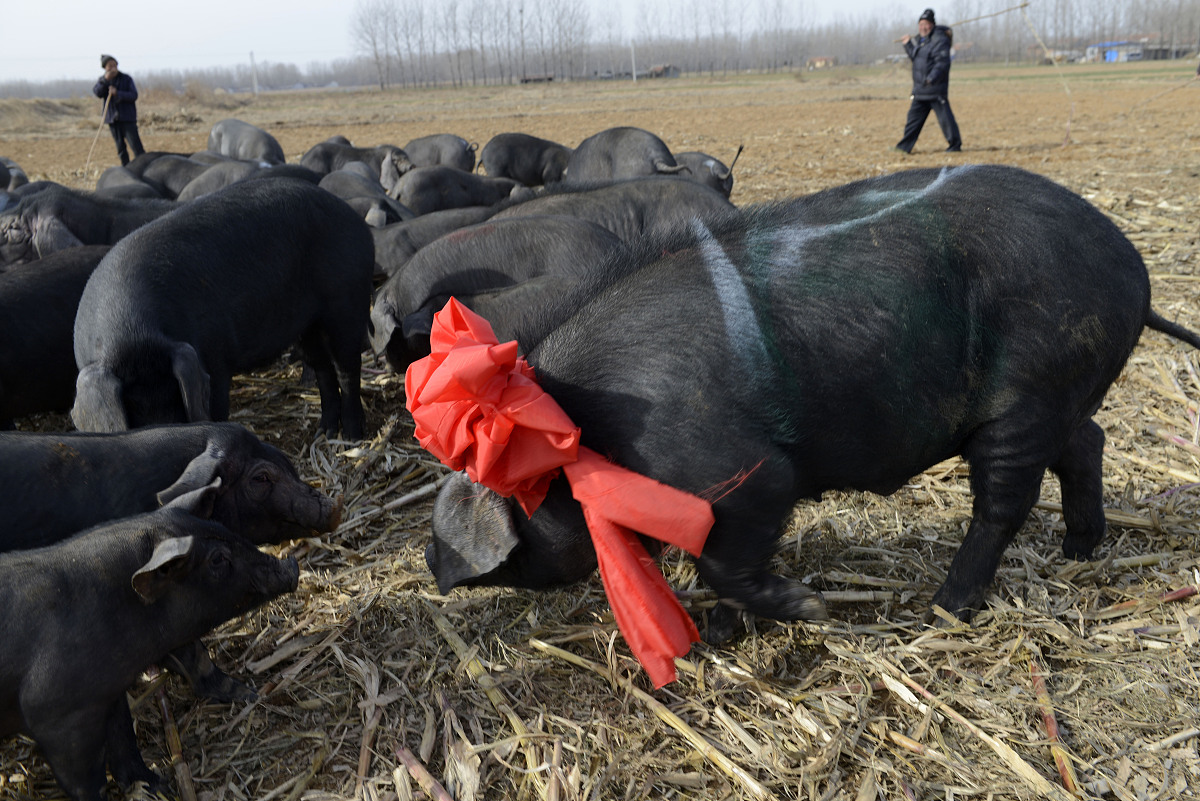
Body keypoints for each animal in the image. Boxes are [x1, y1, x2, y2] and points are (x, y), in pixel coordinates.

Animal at [0, 489, 298, 801]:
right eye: (217, 559)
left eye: (225, 529)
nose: (293, 564)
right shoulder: (58, 715)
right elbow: (86, 779)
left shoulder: (109, 690)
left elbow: (124, 738)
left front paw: (155, 788)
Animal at [429, 164, 1200, 633]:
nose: (437, 568)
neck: (587, 429)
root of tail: (1134, 267)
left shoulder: (745, 476)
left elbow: (725, 558)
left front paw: (812, 608)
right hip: (1059, 394)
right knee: (1087, 442)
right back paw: (1078, 551)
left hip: (1027, 394)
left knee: (1003, 503)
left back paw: (945, 608)